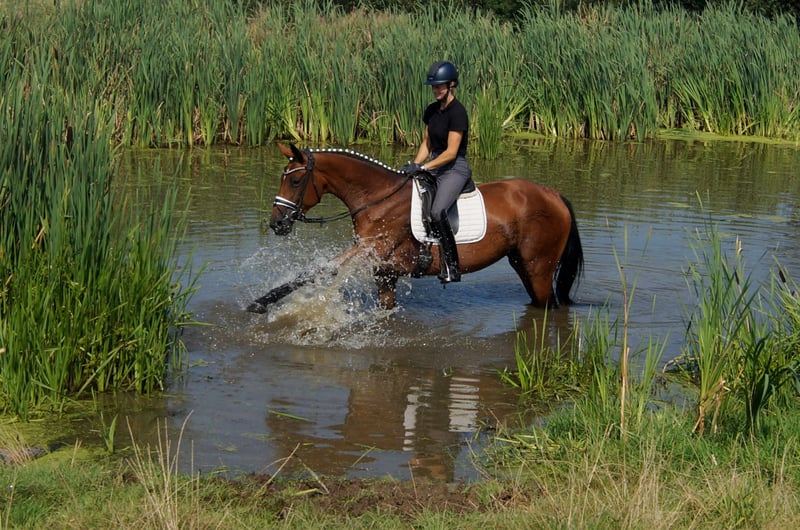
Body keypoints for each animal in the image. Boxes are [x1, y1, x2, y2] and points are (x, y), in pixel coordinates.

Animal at [248, 143, 583, 313]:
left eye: (294, 180)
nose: (277, 223)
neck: (377, 200)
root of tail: (554, 194)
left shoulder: (369, 251)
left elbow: (319, 270)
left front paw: (260, 303)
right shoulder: (383, 271)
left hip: (539, 267)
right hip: (522, 264)